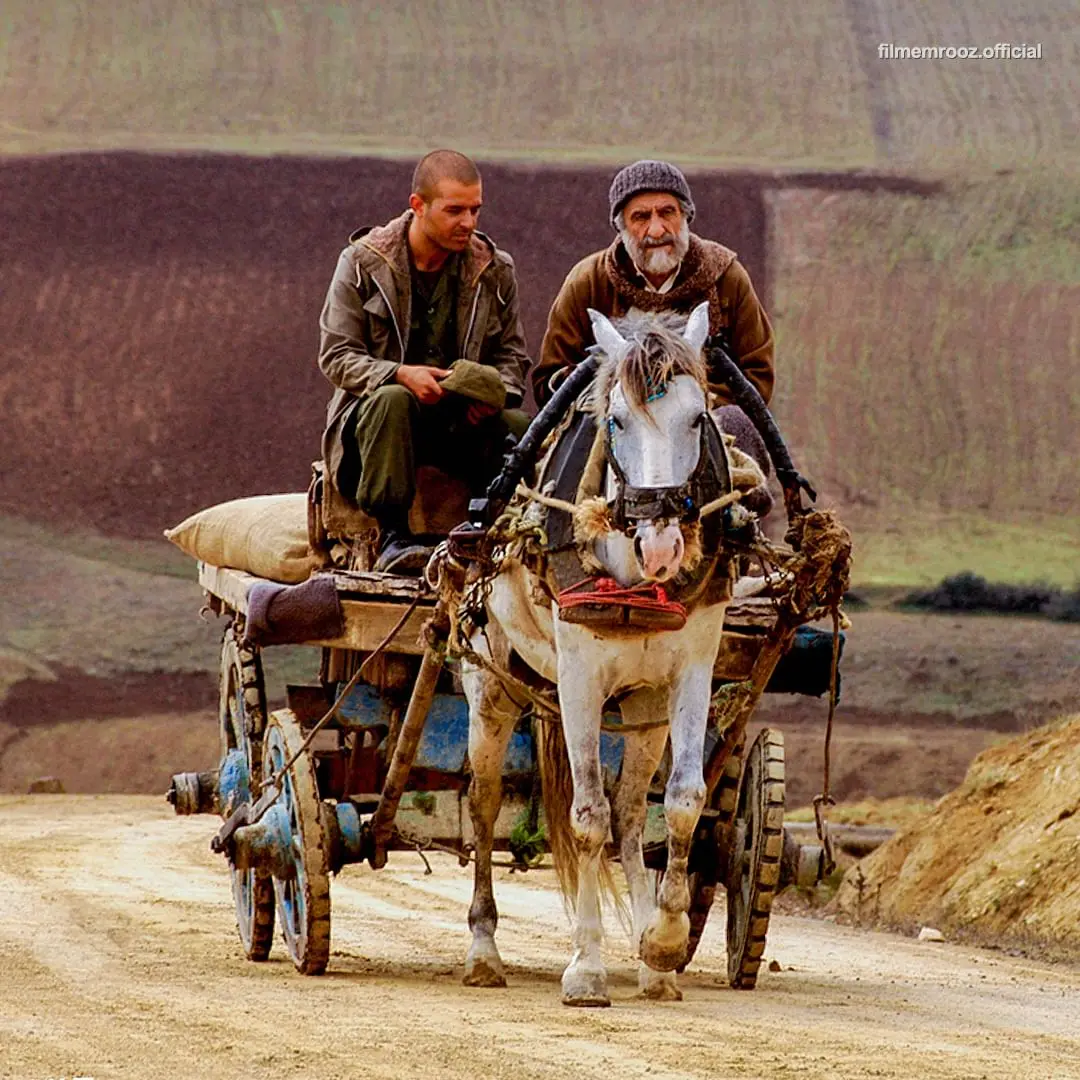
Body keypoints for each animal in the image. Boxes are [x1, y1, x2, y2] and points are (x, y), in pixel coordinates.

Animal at [455, 302, 743, 1002]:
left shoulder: (690, 672)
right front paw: (586, 966)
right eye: (616, 420)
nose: (662, 545)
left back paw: (649, 960)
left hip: (643, 707)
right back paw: (483, 948)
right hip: (494, 685)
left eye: (699, 418)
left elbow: (683, 802)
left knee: (634, 811)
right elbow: (586, 815)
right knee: (483, 801)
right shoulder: (579, 678)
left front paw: (662, 943)